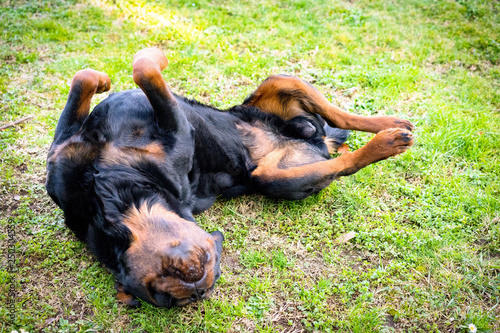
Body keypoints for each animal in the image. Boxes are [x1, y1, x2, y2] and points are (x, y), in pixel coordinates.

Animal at [46, 48, 414, 308]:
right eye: (163, 296)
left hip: (279, 83)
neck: (107, 192)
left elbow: (97, 76)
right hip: (274, 177)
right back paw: (387, 142)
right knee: (343, 161)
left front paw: (110, 75)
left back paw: (391, 123)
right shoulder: (178, 136)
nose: (196, 286)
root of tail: (318, 143)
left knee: (340, 116)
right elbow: (144, 72)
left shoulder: (61, 157)